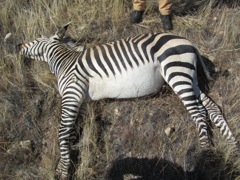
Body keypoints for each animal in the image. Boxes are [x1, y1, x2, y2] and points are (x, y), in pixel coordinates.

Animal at [18, 23, 238, 179]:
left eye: (36, 39)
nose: (18, 45)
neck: (64, 61)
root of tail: (188, 41)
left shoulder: (72, 92)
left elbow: (62, 132)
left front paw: (63, 172)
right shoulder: (81, 100)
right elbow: (72, 133)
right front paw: (68, 161)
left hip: (176, 72)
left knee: (199, 113)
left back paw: (206, 155)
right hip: (189, 77)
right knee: (212, 108)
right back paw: (232, 146)